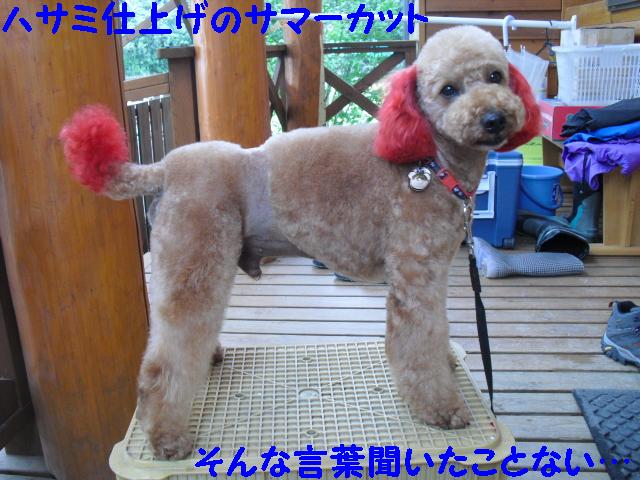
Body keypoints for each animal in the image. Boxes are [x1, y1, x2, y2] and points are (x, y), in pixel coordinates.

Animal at [60, 26, 540, 459]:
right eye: (448, 90)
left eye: (496, 76)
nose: (494, 118)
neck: (429, 160)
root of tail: (164, 167)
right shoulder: (414, 274)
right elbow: (417, 344)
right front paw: (441, 408)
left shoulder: (432, 272)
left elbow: (436, 332)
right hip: (194, 256)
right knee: (166, 360)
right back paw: (167, 437)